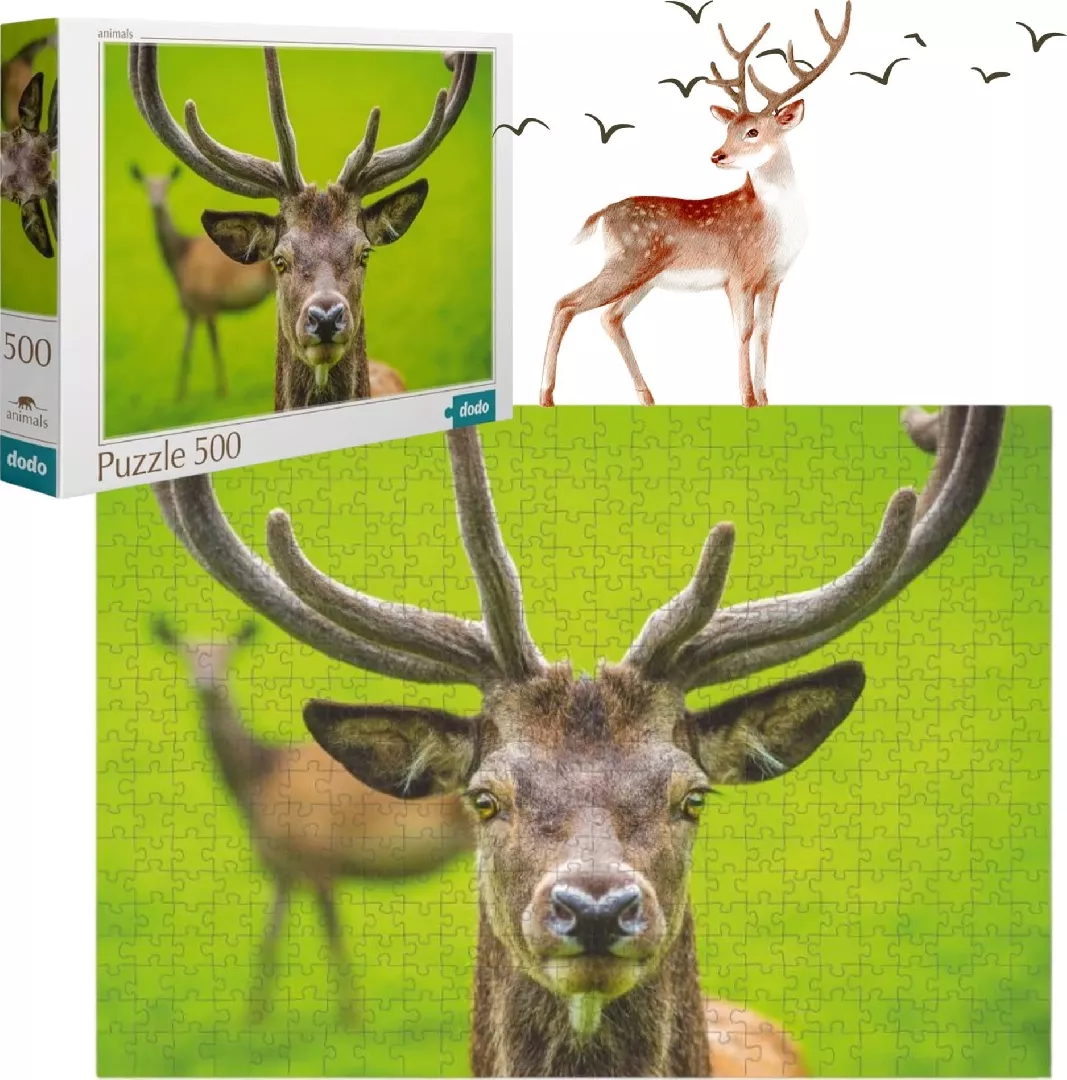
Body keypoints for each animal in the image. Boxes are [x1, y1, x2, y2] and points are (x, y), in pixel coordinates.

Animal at [130, 163, 275, 400]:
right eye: (146, 186)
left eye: (166, 186)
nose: (157, 204)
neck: (180, 261)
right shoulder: (190, 308)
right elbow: (185, 351)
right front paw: (179, 395)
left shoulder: (208, 302)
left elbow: (214, 346)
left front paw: (223, 390)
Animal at [148, 614, 473, 1019]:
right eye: (187, 652)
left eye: (227, 655)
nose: (205, 684)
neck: (259, 780)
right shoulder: (281, 870)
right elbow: (268, 941)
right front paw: (253, 1017)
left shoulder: (319, 857)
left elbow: (333, 938)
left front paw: (352, 1017)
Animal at [541, 2, 852, 410]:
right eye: (728, 128)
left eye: (752, 131)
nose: (717, 155)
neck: (775, 225)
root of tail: (603, 214)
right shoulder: (739, 274)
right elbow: (744, 331)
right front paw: (747, 399)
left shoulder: (774, 279)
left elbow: (765, 332)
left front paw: (765, 399)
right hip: (627, 261)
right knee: (566, 302)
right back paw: (546, 396)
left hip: (644, 276)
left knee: (609, 317)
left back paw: (648, 397)